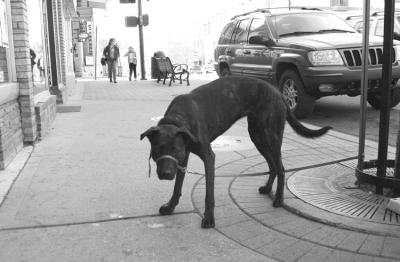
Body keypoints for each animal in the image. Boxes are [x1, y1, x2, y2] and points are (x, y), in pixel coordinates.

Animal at [141, 75, 332, 227]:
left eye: (176, 149)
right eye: (158, 149)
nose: (165, 174)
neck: (178, 119)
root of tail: (278, 92)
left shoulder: (207, 157)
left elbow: (209, 194)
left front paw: (209, 219)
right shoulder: (183, 159)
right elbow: (177, 186)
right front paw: (170, 206)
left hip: (271, 136)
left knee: (281, 168)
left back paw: (278, 199)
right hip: (258, 136)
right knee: (272, 165)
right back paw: (267, 188)